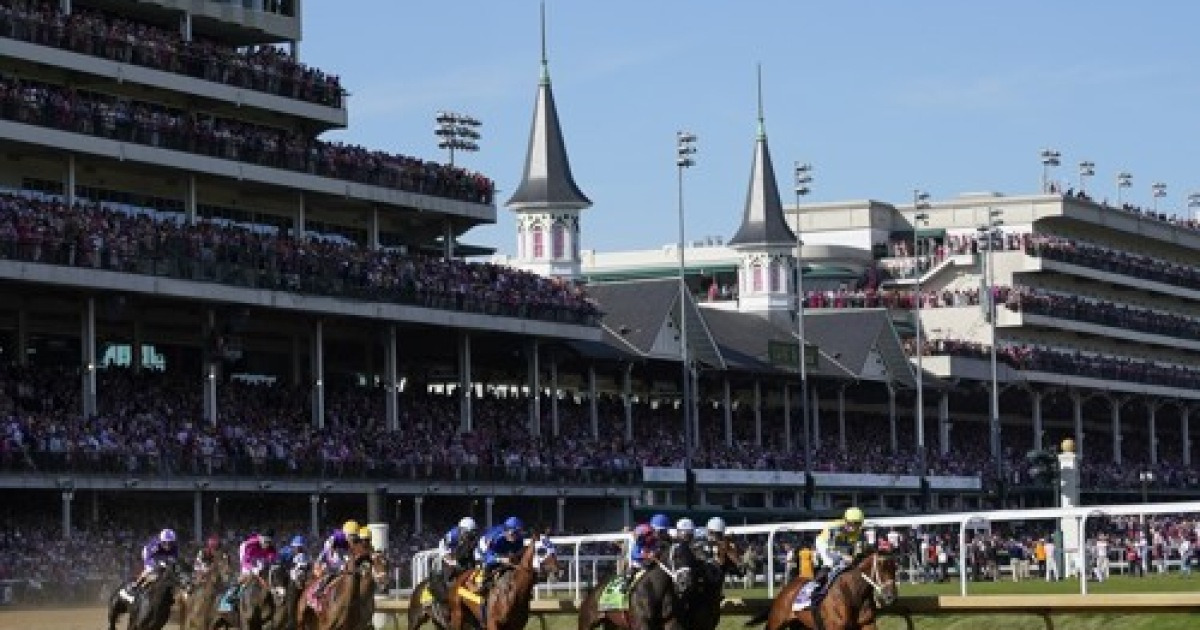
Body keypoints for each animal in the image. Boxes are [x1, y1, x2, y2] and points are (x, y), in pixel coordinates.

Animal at [748, 544, 902, 628]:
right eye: (881, 566)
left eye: (895, 567)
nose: (891, 596)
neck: (853, 593)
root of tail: (785, 589)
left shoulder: (867, 624)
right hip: (777, 621)